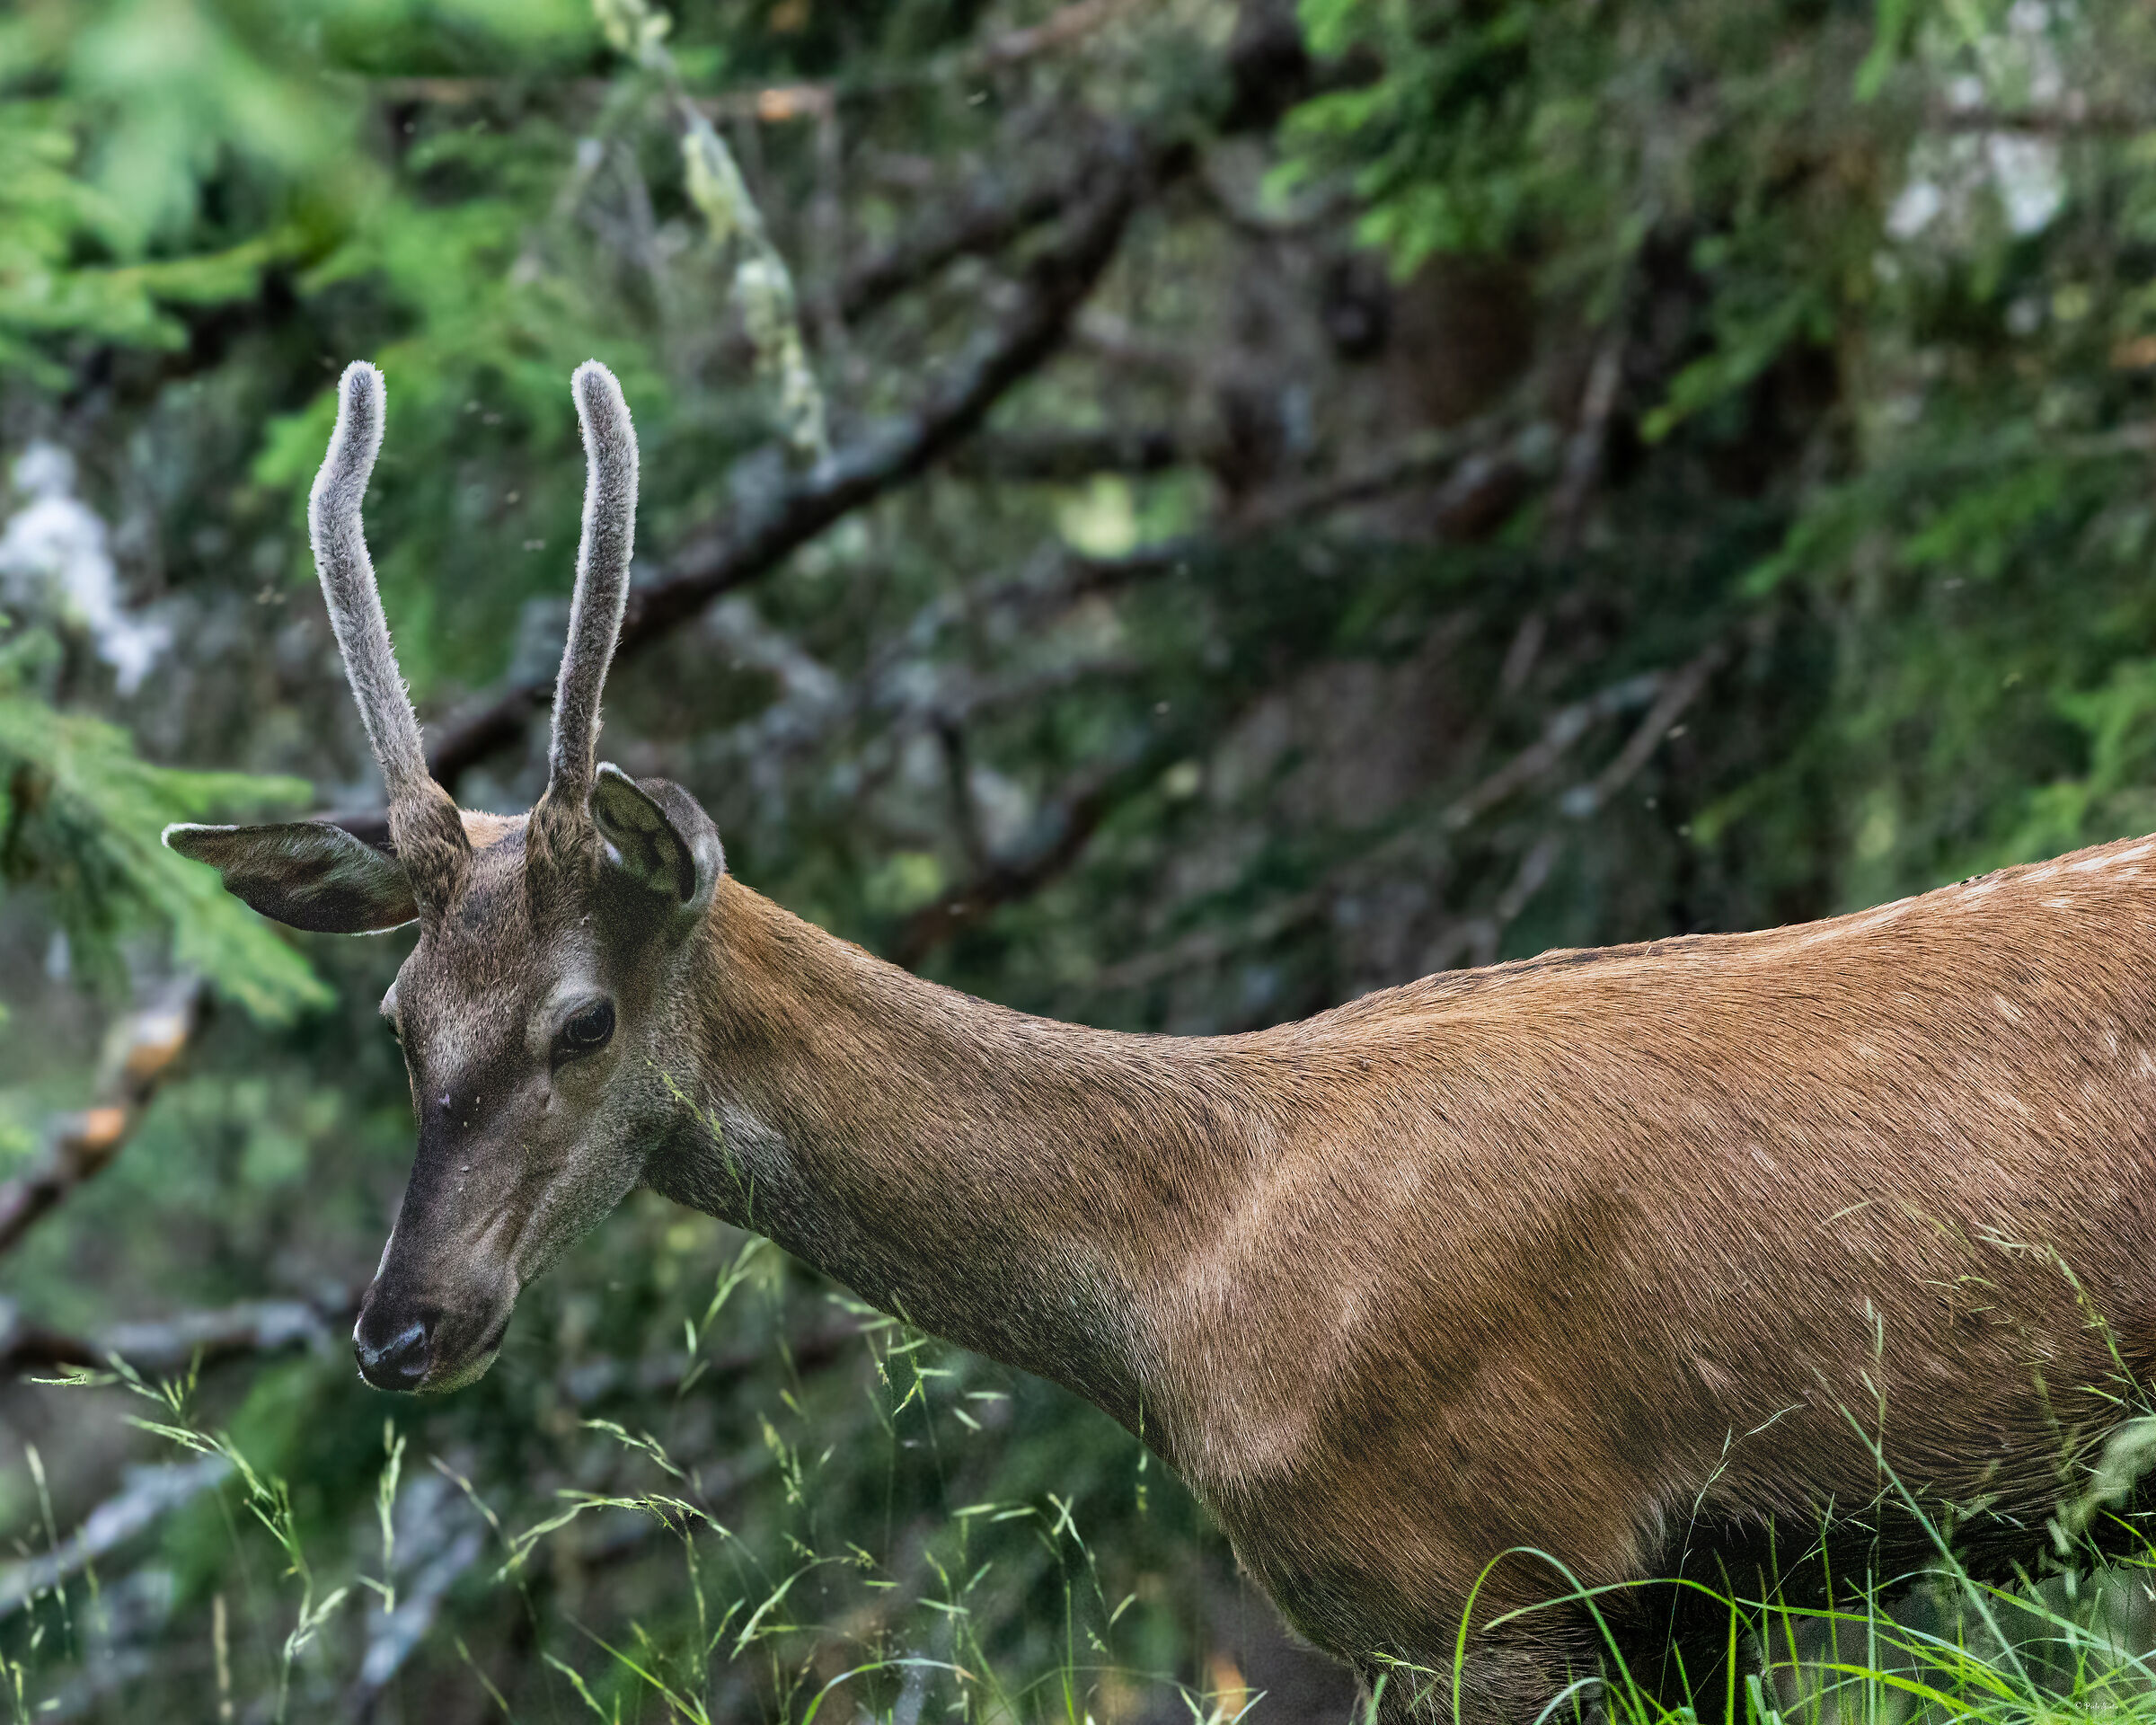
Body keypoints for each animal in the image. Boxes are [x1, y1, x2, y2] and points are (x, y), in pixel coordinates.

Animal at [166, 359, 2156, 1722]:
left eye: (580, 1021)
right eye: (398, 1018)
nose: (401, 1325)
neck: (1184, 1286)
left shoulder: (1488, 1573)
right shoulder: (1690, 1604)